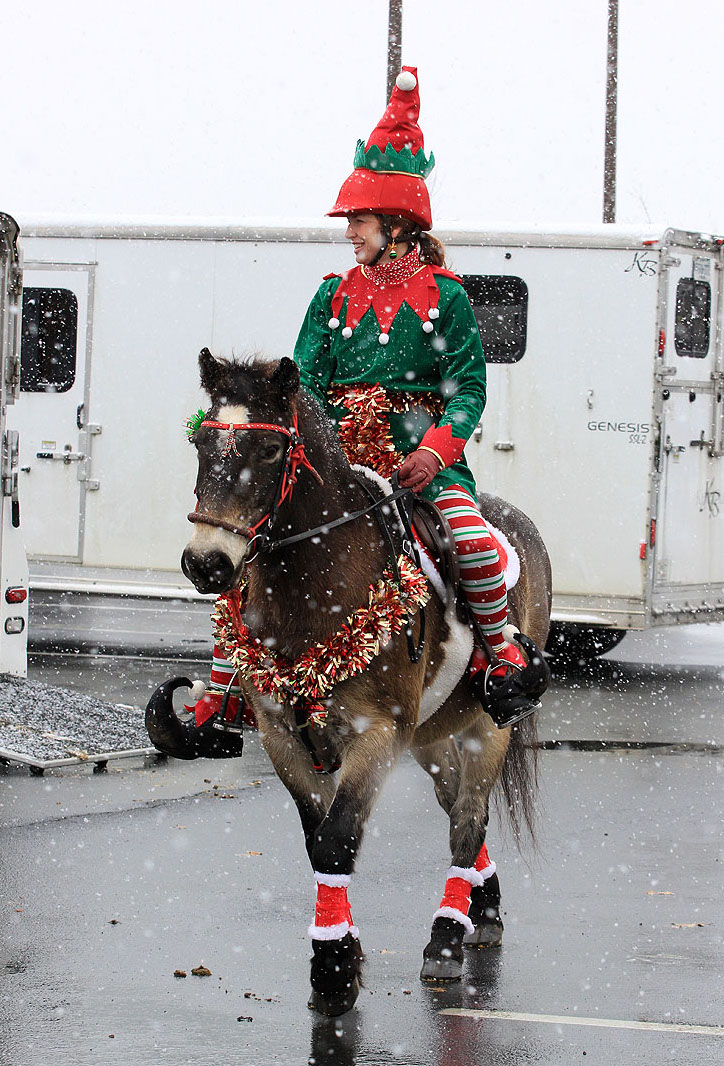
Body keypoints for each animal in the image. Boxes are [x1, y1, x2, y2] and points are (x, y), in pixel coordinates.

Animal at [148, 351, 554, 1014]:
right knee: (456, 812)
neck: (317, 592)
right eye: (202, 440)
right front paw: (347, 948)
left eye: (270, 452)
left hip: (484, 729)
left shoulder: (377, 735)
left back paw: (447, 939)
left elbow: (340, 837)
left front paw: (334, 968)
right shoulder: (284, 737)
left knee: (468, 822)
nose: (207, 563)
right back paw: (483, 906)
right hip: (430, 739)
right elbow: (318, 840)